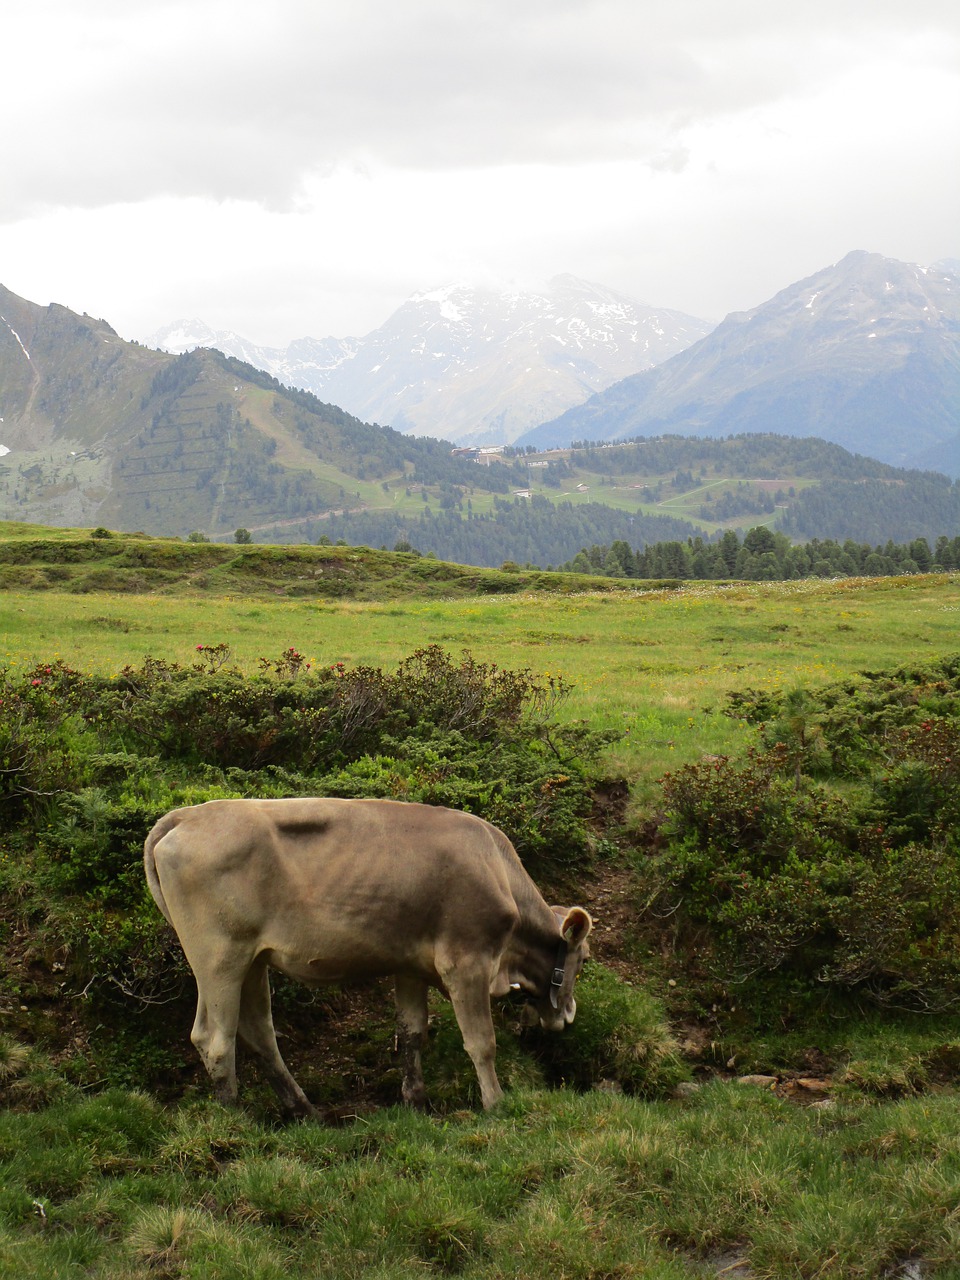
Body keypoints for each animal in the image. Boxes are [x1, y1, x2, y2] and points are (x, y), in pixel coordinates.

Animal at [142, 793, 593, 1116]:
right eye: (584, 958)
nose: (569, 1014)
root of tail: (186, 815)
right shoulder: (466, 962)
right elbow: (481, 1041)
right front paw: (496, 1104)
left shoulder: (410, 964)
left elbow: (412, 1032)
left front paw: (416, 1101)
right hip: (219, 956)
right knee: (214, 1037)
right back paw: (233, 1117)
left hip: (252, 959)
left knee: (258, 1031)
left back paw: (304, 1109)